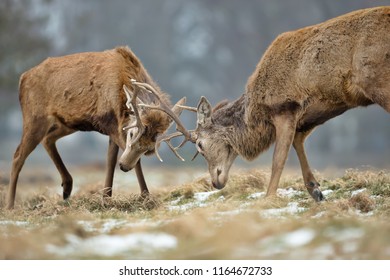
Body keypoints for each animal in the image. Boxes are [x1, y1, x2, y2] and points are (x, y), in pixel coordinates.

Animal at [5, 46, 189, 209]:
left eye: (150, 147)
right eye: (132, 134)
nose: (124, 166)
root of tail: (22, 78)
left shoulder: (113, 127)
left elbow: (110, 160)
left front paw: (106, 197)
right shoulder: (113, 126)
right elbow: (125, 161)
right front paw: (145, 196)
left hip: (68, 123)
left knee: (47, 139)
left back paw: (67, 187)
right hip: (35, 117)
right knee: (18, 155)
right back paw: (10, 205)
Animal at [173, 6, 390, 201]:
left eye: (200, 145)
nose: (215, 182)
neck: (256, 113)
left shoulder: (284, 108)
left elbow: (278, 160)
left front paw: (268, 198)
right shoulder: (307, 115)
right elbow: (297, 142)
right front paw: (316, 191)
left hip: (377, 81)